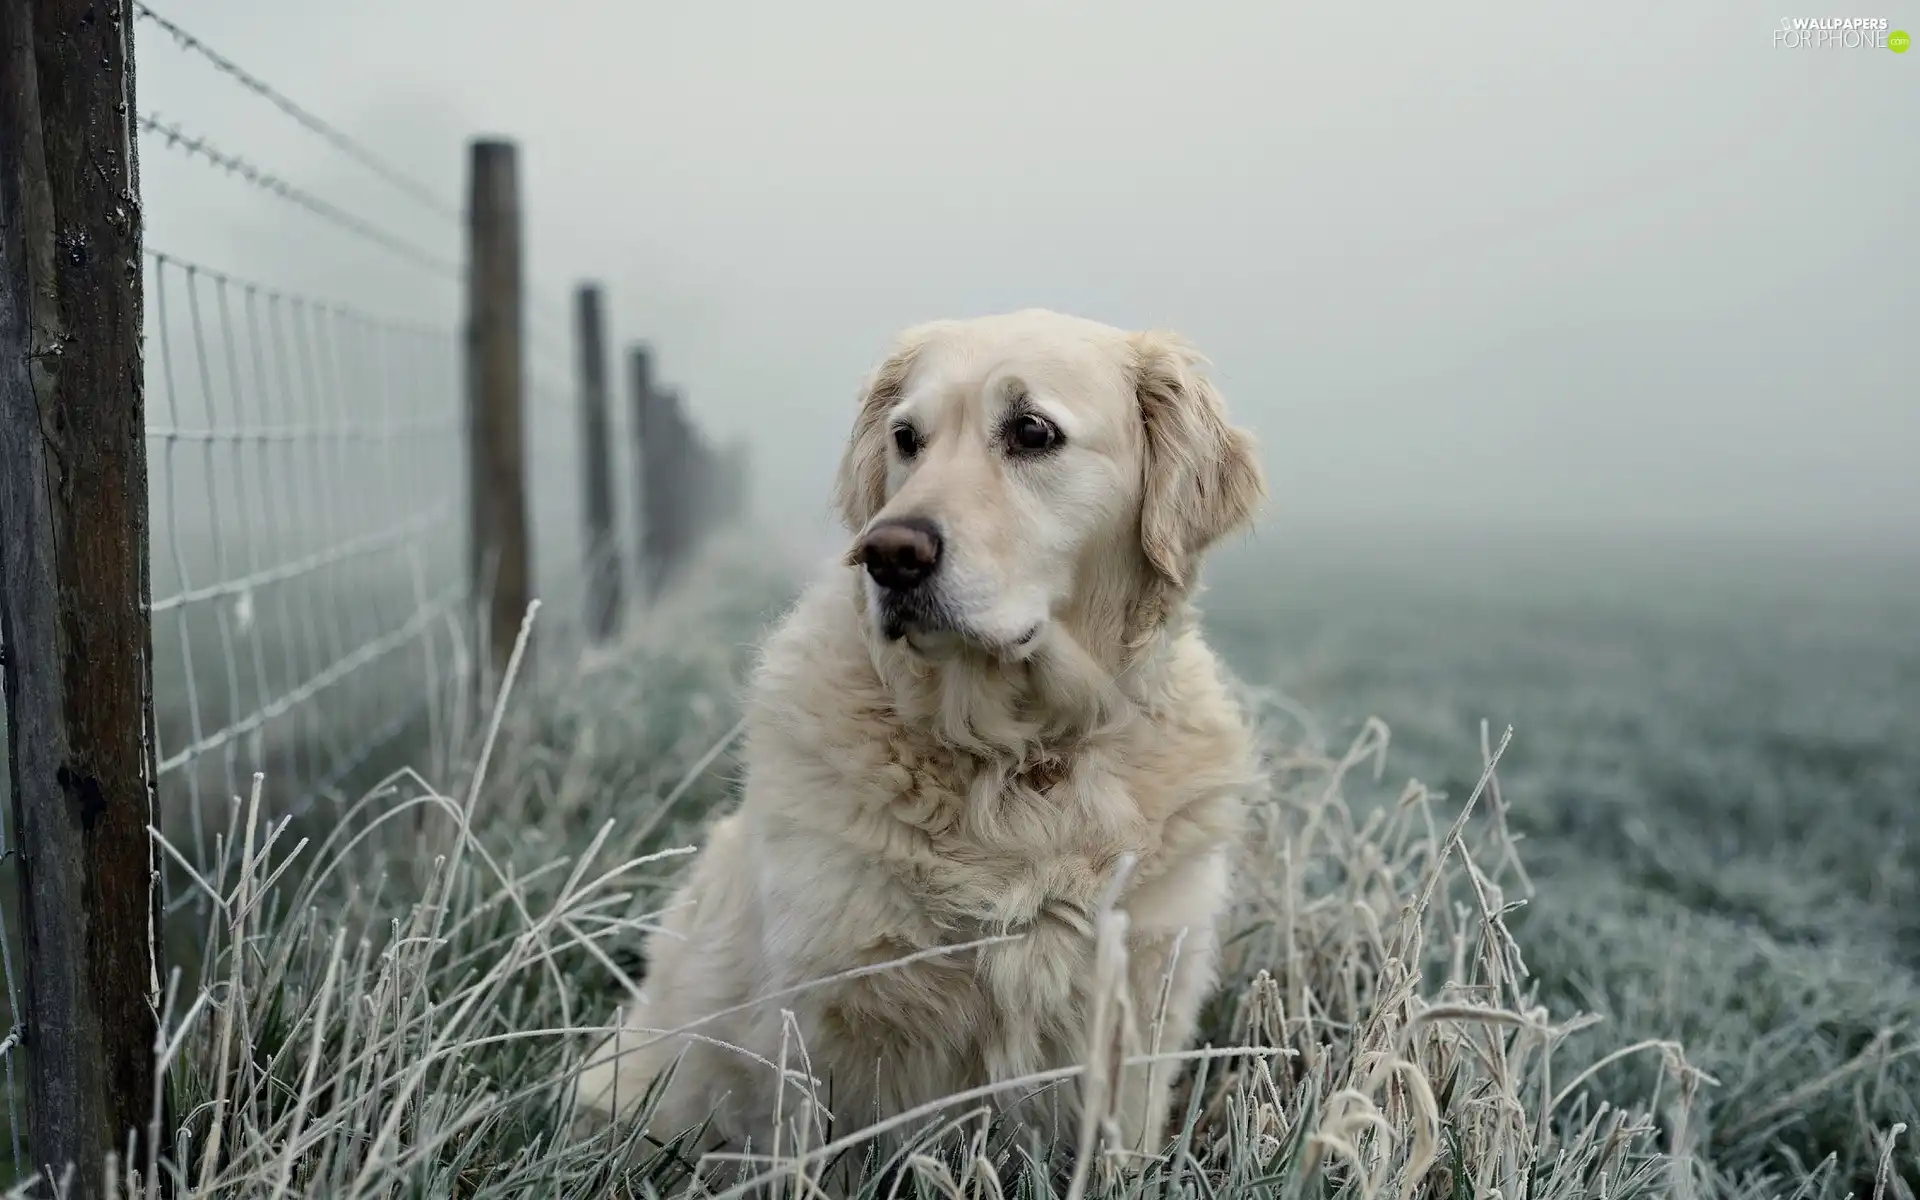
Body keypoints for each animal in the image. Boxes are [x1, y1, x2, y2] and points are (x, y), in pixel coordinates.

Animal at [576, 307, 1267, 1167]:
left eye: (1032, 431)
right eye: (907, 438)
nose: (888, 554)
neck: (1018, 760)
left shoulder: (1140, 996)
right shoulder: (824, 1017)